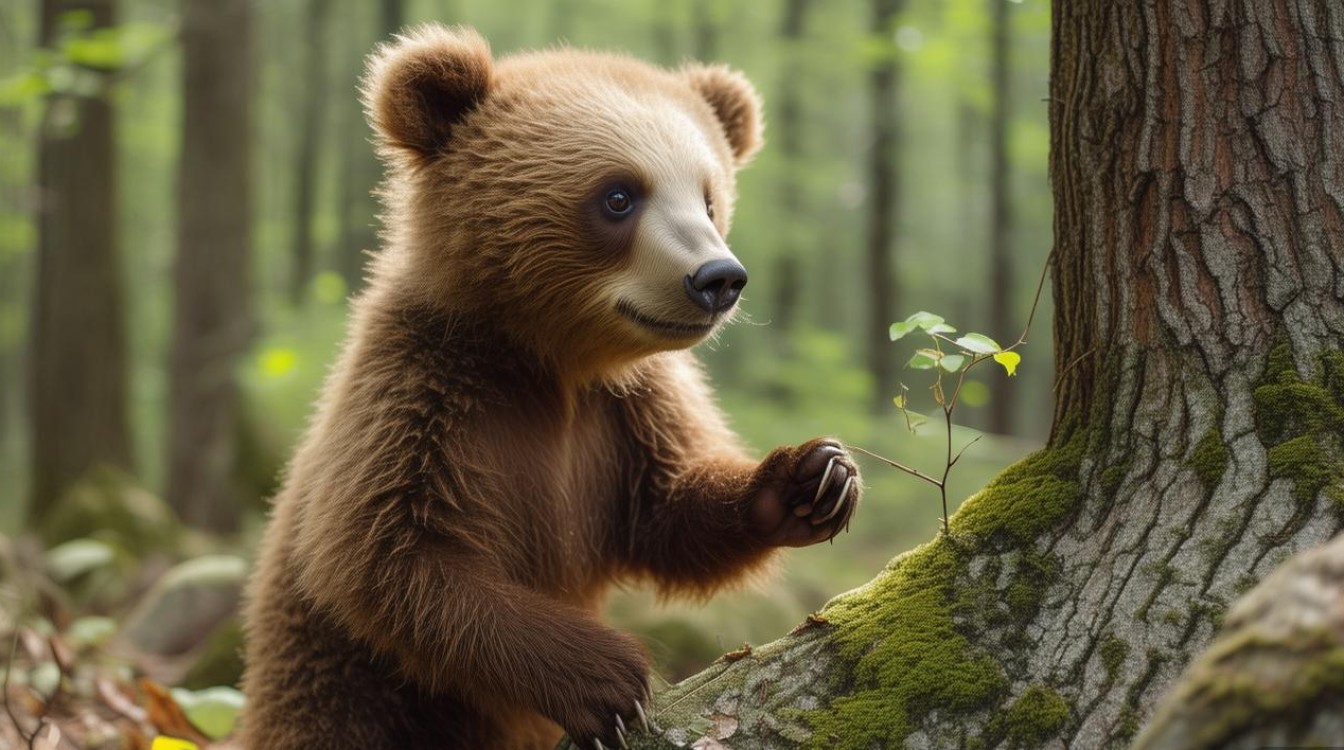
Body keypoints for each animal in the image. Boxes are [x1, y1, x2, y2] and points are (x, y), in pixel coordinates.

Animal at [238, 24, 861, 750]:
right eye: (619, 195)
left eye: (709, 196)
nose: (718, 278)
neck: (550, 358)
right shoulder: (422, 392)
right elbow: (390, 555)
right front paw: (611, 680)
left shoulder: (625, 410)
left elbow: (668, 509)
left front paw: (814, 478)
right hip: (342, 692)